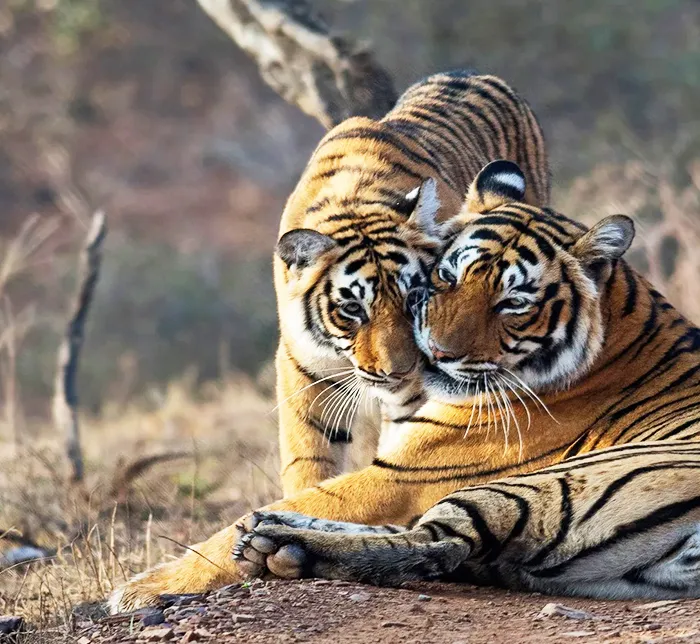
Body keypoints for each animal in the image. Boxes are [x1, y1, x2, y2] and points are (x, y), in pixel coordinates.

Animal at [231, 160, 700, 600]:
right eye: (448, 276)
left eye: (513, 303)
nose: (438, 353)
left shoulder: (405, 474)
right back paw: (268, 522)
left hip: (545, 484)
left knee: (434, 542)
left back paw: (278, 544)